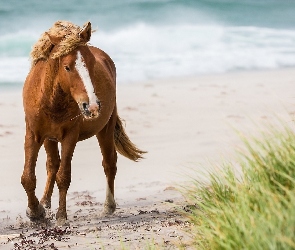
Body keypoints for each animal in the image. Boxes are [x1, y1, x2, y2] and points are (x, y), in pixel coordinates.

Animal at [20, 21, 146, 225]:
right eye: (67, 67)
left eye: (92, 64)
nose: (92, 106)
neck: (51, 100)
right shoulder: (34, 134)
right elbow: (28, 177)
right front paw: (35, 211)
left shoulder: (70, 137)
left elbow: (64, 176)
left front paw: (61, 216)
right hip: (49, 139)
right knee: (52, 165)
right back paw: (45, 202)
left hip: (105, 129)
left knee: (109, 163)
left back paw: (108, 206)